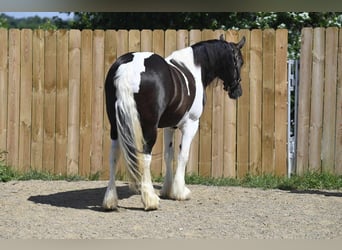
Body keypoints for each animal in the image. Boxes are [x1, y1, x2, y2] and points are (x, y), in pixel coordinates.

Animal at [103, 34, 244, 211]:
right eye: (240, 61)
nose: (237, 91)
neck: (194, 68)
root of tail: (128, 70)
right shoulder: (191, 124)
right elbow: (183, 155)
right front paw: (180, 192)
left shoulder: (169, 126)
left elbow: (168, 155)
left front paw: (168, 190)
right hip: (149, 128)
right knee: (145, 158)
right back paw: (150, 200)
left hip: (115, 127)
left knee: (113, 156)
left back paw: (110, 201)